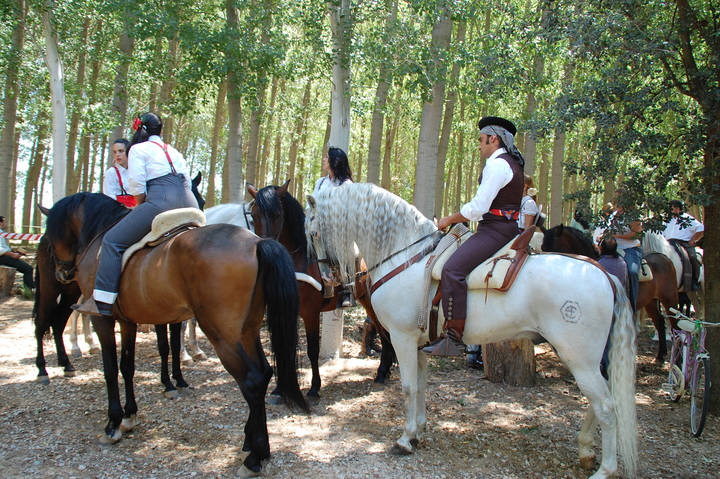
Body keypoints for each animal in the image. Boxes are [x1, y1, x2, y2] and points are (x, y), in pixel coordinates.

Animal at [42, 192, 307, 476]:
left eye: (52, 234)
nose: (62, 272)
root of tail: (257, 242)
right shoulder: (127, 321)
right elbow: (127, 367)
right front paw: (129, 416)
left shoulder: (103, 319)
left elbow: (111, 370)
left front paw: (113, 424)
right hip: (246, 330)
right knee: (265, 372)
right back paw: (256, 445)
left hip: (223, 335)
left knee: (252, 380)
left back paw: (254, 457)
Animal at [246, 181, 395, 398]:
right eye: (254, 215)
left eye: (277, 214)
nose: (266, 249)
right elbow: (283, 346)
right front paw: (280, 389)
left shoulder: (310, 313)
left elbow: (312, 350)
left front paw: (314, 387)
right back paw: (386, 369)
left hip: (371, 301)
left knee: (384, 331)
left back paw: (383, 372)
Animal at [306, 183, 637, 479]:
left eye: (313, 232)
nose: (325, 278)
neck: (406, 257)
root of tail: (603, 273)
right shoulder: (418, 344)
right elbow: (422, 386)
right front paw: (419, 432)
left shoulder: (402, 338)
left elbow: (409, 387)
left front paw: (404, 439)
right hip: (587, 361)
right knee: (599, 403)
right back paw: (586, 451)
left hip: (579, 359)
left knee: (607, 406)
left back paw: (605, 470)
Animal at [542, 225, 680, 362]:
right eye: (543, 248)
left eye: (555, 249)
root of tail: (665, 258)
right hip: (651, 301)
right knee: (660, 322)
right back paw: (661, 355)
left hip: (669, 299)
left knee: (675, 324)